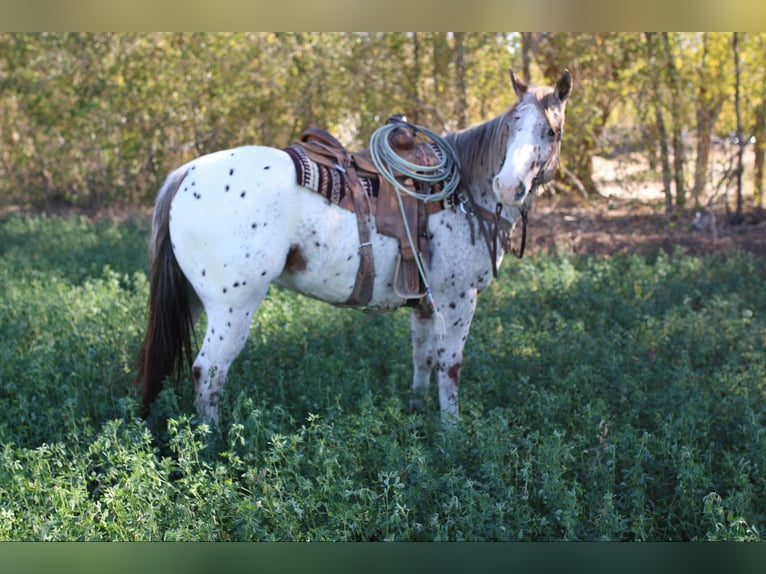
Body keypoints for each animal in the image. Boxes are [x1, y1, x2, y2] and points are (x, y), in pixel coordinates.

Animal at [138, 68, 572, 428]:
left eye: (551, 132)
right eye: (513, 125)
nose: (508, 187)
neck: (464, 190)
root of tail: (187, 172)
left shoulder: (425, 305)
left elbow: (423, 359)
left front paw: (416, 411)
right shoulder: (456, 300)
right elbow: (450, 369)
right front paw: (451, 433)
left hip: (196, 300)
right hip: (233, 307)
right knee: (207, 373)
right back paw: (212, 442)